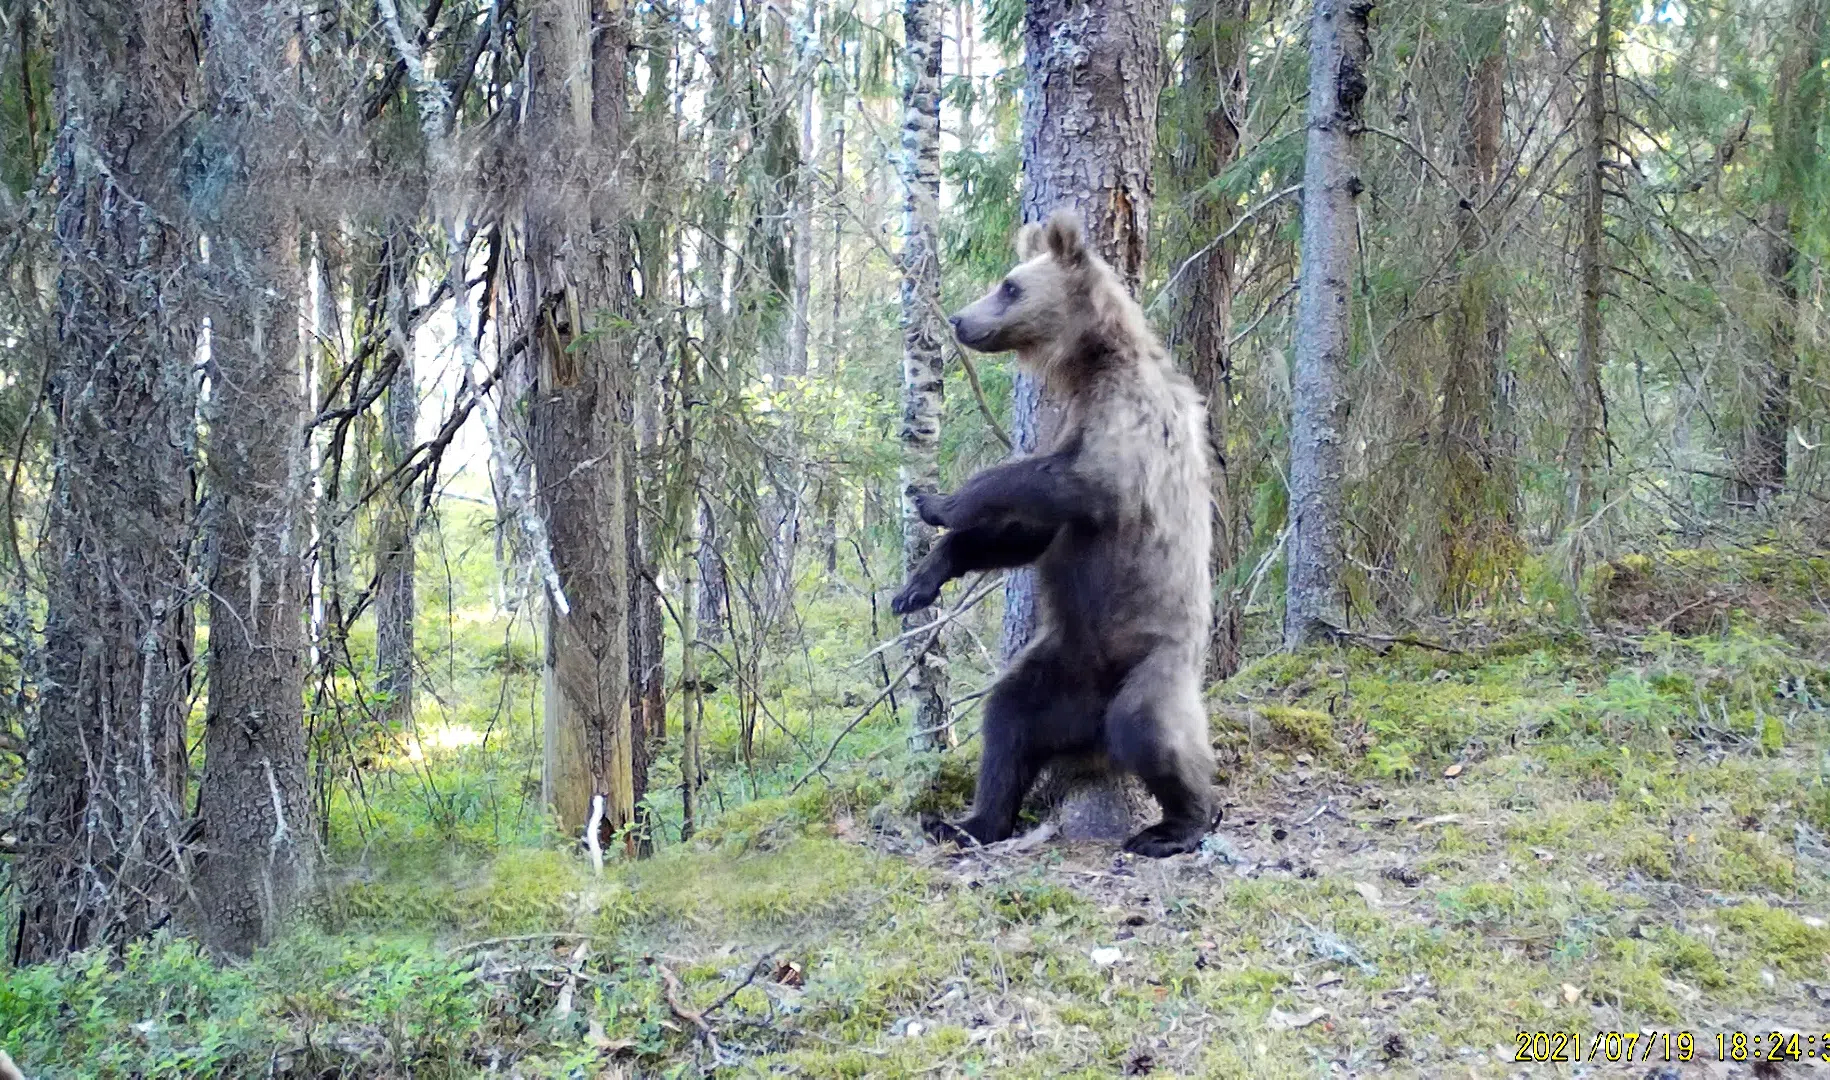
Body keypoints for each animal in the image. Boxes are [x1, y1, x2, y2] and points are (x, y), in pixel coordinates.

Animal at [889, 207, 1215, 860]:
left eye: (1010, 285)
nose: (960, 319)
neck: (1092, 363)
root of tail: (1090, 724)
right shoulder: (1075, 424)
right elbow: (1033, 533)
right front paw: (919, 582)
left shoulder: (1129, 432)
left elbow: (1060, 483)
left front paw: (939, 501)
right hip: (1060, 667)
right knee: (1007, 720)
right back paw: (969, 822)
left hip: (1157, 656)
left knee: (1148, 727)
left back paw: (1175, 825)